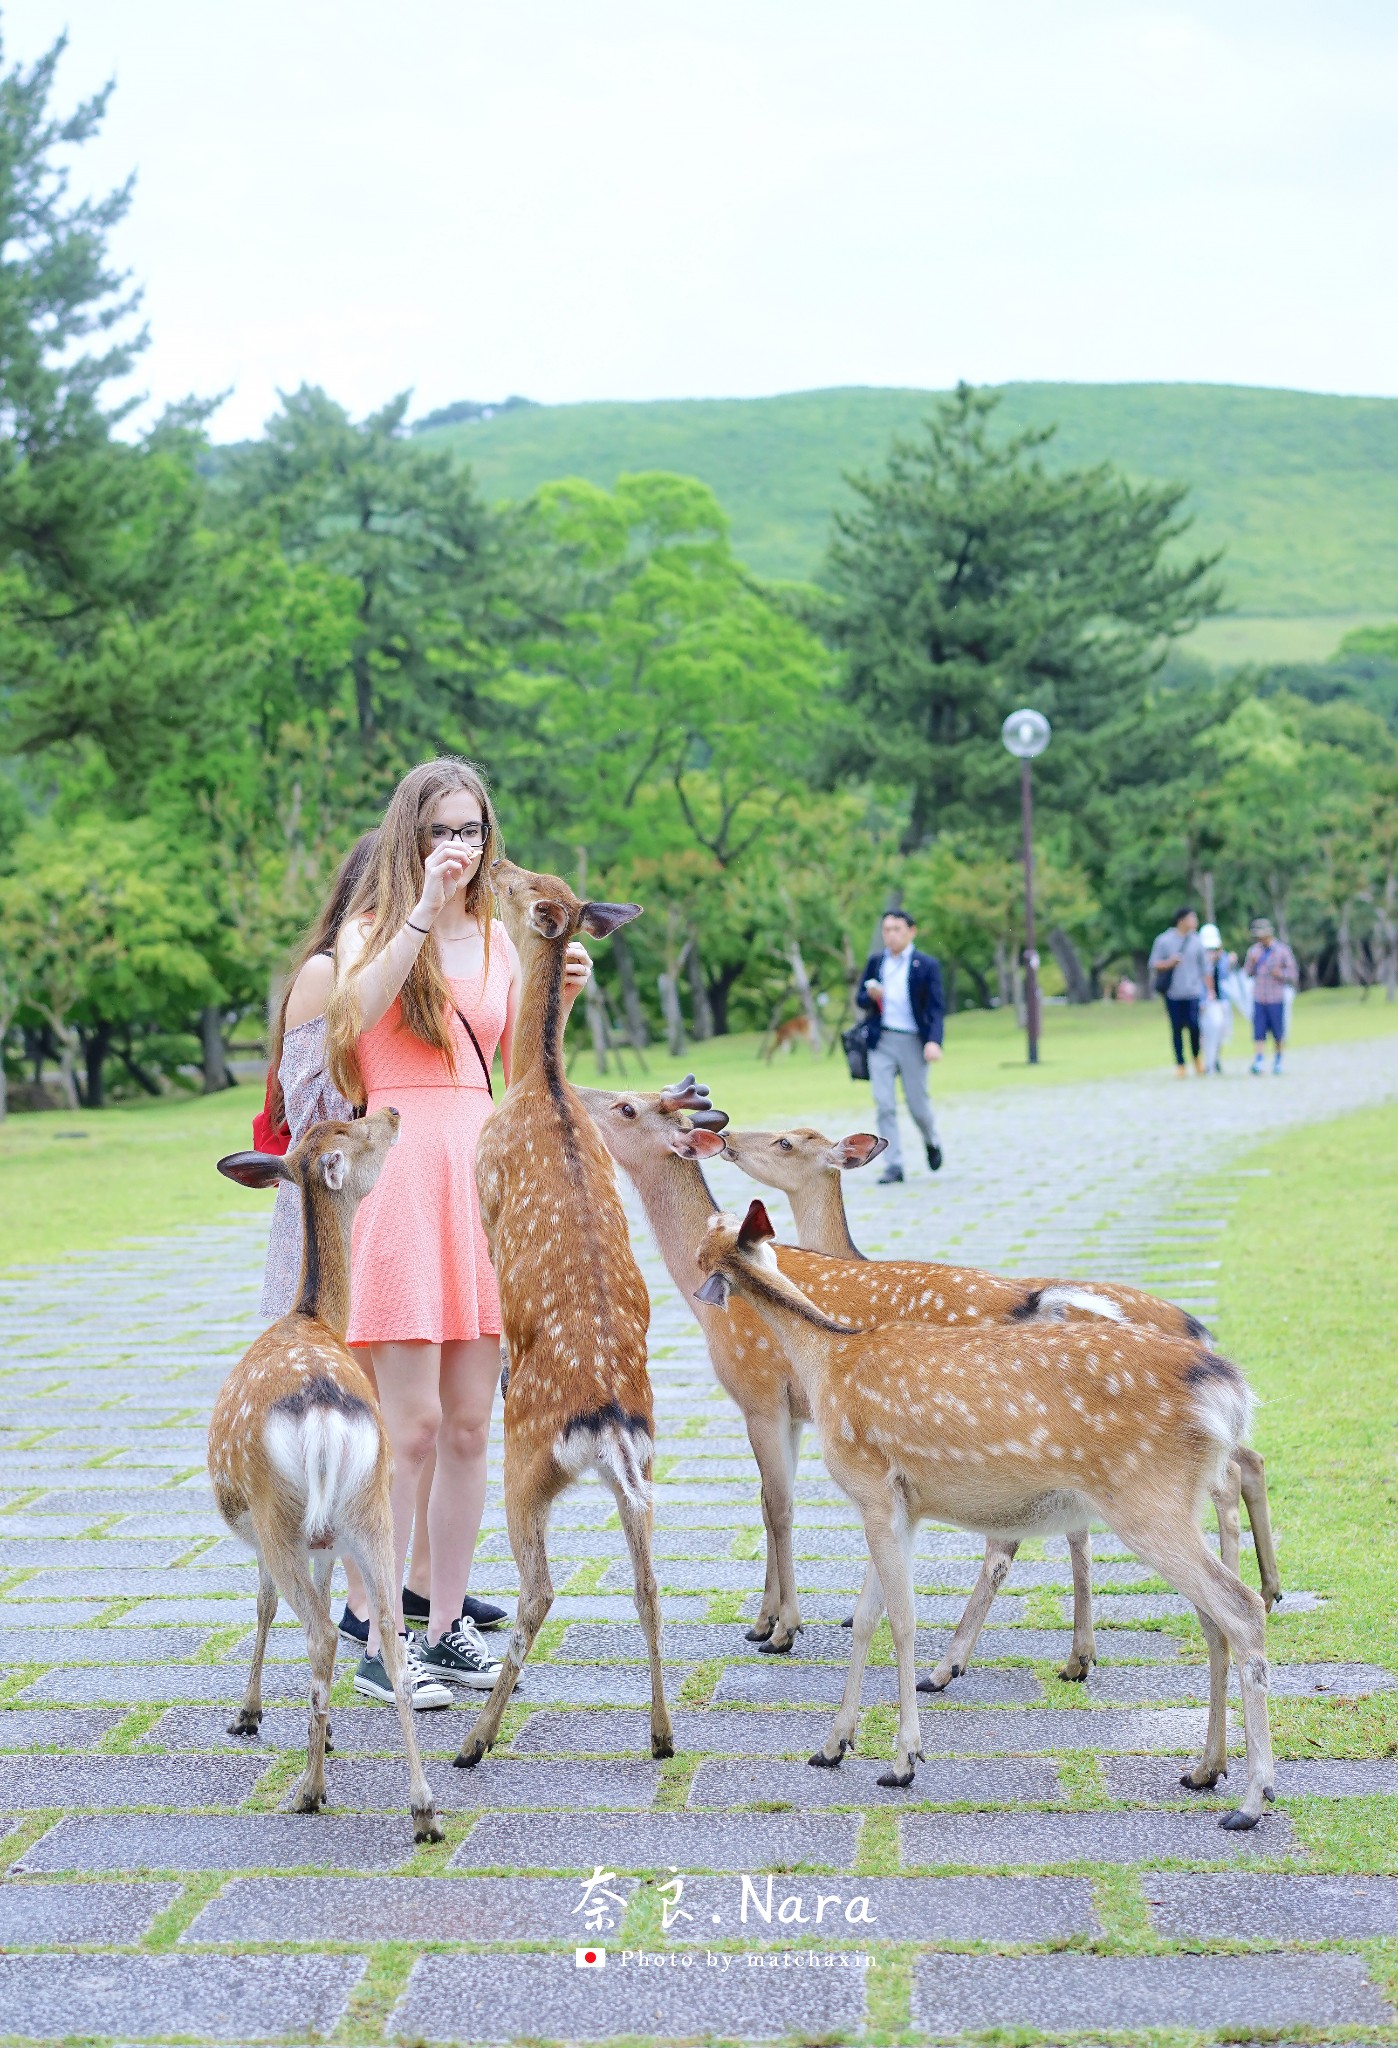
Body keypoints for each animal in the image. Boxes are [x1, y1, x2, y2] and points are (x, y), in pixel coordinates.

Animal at [208, 1114, 442, 1851]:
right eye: (353, 1129)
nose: (392, 1115)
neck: (312, 1314)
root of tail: (321, 1409)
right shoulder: (329, 1540)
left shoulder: (264, 1533)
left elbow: (261, 1607)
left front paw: (248, 1715)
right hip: (370, 1509)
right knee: (391, 1642)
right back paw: (424, 1811)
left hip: (277, 1512)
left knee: (316, 1634)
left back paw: (308, 1792)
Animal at [700, 1196, 1277, 1826]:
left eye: (704, 1250)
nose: (695, 1276)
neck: (826, 1358)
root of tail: (1231, 1392)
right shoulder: (899, 1507)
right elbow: (867, 1618)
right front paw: (832, 1746)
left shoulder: (872, 1486)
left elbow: (902, 1620)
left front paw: (903, 1760)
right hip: (1179, 1501)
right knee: (1213, 1617)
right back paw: (1205, 1769)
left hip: (1146, 1500)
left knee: (1240, 1607)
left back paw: (1253, 1797)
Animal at [720, 1130, 1277, 1687]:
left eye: (785, 1142)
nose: (726, 1139)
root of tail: (1200, 1331)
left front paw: (787, 1626)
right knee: (1244, 1464)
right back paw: (1259, 1592)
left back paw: (947, 1666)